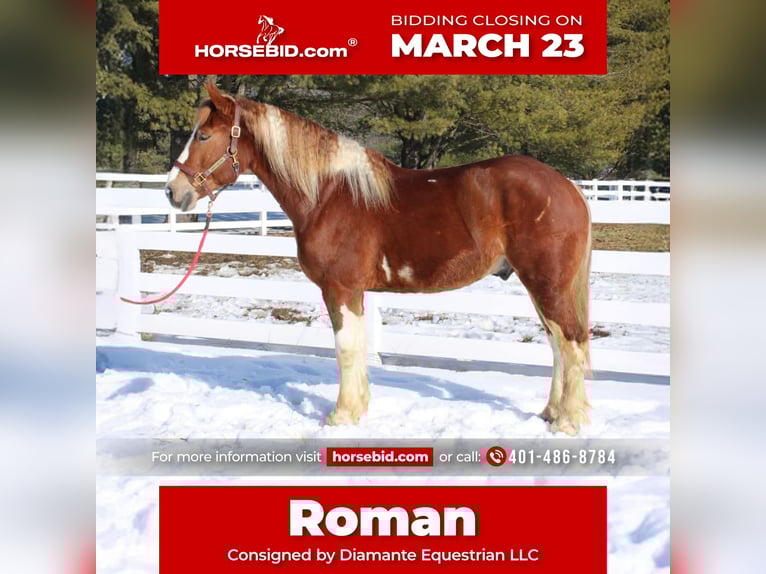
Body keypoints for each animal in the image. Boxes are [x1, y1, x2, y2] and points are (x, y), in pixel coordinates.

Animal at [165, 81, 593, 435]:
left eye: (203, 135)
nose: (173, 191)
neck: (328, 195)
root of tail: (568, 187)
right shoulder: (353, 291)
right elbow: (355, 347)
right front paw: (356, 410)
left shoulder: (339, 288)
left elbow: (345, 349)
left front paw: (341, 416)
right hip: (539, 286)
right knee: (557, 343)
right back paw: (551, 413)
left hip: (546, 284)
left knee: (569, 342)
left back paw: (567, 423)